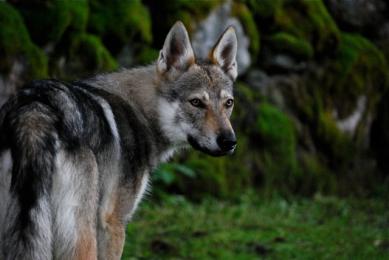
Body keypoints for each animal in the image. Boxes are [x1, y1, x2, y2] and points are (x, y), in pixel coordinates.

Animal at [0, 21, 236, 258]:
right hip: (83, 238)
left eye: (229, 103)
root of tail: (34, 112)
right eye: (196, 102)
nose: (230, 142)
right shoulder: (113, 222)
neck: (140, 113)